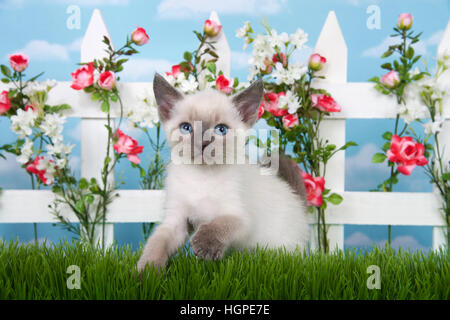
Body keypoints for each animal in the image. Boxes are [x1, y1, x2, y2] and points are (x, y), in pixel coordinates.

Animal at [137, 74, 310, 272]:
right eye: (186, 128)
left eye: (221, 129)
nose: (203, 143)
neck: (201, 176)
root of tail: (298, 200)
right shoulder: (176, 220)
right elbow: (157, 242)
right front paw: (148, 271)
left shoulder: (241, 217)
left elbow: (220, 224)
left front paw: (204, 246)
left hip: (282, 247)